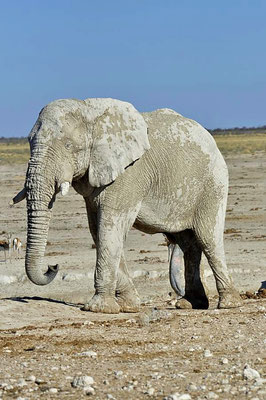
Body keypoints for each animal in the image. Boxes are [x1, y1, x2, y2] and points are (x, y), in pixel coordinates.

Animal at [11, 97, 241, 312]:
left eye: (69, 146)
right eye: (29, 142)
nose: (53, 266)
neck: (88, 109)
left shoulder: (130, 173)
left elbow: (110, 227)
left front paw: (97, 308)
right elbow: (98, 230)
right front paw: (128, 305)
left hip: (214, 183)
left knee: (208, 238)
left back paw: (228, 303)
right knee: (188, 244)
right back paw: (190, 304)